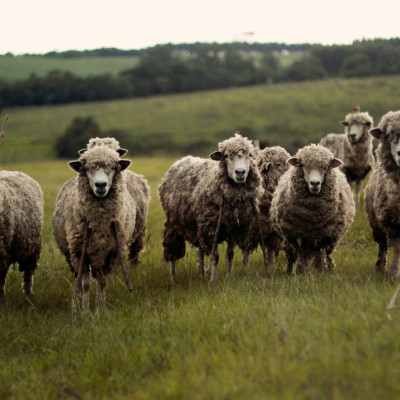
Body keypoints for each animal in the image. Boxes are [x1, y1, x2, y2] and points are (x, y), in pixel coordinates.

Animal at [53, 145, 150, 310]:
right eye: (86, 168)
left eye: (113, 167)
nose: (100, 185)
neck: (100, 222)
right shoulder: (80, 253)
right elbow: (85, 284)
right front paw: (85, 310)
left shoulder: (110, 253)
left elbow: (103, 282)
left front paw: (100, 309)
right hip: (72, 255)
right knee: (78, 280)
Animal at [159, 133, 266, 282]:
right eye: (226, 156)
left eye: (250, 155)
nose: (240, 172)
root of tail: (181, 160)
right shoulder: (213, 227)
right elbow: (215, 256)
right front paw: (213, 280)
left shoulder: (232, 227)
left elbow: (230, 254)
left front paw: (228, 277)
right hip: (174, 222)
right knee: (173, 250)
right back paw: (172, 277)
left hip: (198, 224)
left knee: (200, 250)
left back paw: (201, 273)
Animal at [270, 142, 354, 274]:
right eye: (303, 165)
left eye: (326, 166)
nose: (315, 183)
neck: (313, 216)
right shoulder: (299, 234)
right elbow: (302, 253)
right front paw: (302, 271)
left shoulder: (325, 234)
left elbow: (320, 252)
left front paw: (320, 270)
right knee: (293, 255)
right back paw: (290, 270)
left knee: (325, 253)